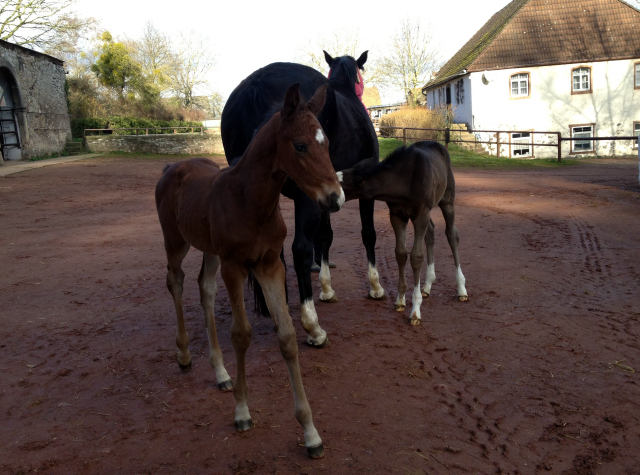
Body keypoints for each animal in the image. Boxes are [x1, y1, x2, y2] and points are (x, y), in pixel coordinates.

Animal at [156, 83, 344, 460]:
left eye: (326, 142)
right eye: (300, 145)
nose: (335, 198)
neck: (250, 201)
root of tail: (172, 166)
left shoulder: (268, 264)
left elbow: (287, 336)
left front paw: (311, 433)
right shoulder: (235, 267)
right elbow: (241, 334)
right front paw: (242, 412)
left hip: (210, 250)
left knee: (204, 288)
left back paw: (220, 372)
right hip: (176, 242)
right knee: (176, 282)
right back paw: (184, 354)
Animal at [338, 141, 468, 326]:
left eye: (341, 184)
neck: (403, 181)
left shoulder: (420, 214)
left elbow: (416, 256)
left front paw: (415, 311)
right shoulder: (397, 215)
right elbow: (400, 253)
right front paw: (400, 300)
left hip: (447, 200)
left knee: (451, 234)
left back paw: (461, 289)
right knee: (431, 232)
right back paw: (428, 285)